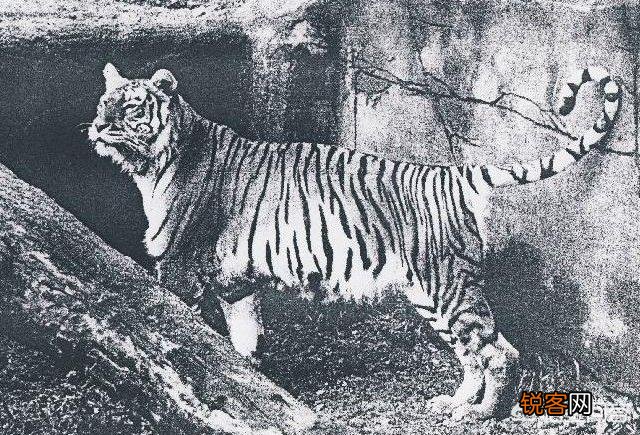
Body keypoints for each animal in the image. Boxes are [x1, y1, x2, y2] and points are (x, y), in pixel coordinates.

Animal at [88, 62, 620, 420]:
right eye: (102, 104)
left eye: (129, 107)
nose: (96, 126)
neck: (153, 165)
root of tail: (453, 173)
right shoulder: (236, 283)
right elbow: (241, 341)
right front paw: (248, 382)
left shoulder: (177, 267)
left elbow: (175, 327)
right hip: (429, 292)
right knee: (473, 354)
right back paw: (452, 402)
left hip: (446, 287)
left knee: (499, 352)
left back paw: (481, 415)